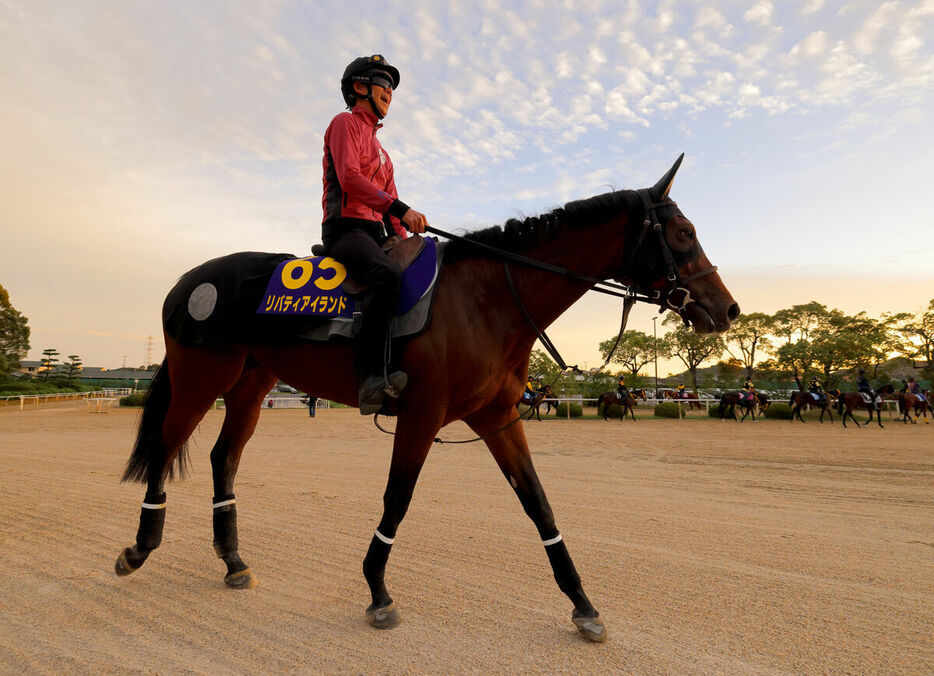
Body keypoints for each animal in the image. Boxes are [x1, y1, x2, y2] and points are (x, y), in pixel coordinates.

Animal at [111, 156, 740, 640]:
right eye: (684, 233)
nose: (729, 309)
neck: (485, 299)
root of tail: (186, 282)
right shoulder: (422, 414)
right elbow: (397, 500)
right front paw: (378, 591)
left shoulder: (497, 417)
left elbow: (539, 505)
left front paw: (583, 604)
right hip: (200, 379)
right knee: (165, 448)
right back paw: (140, 547)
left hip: (249, 385)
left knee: (223, 457)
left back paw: (234, 561)